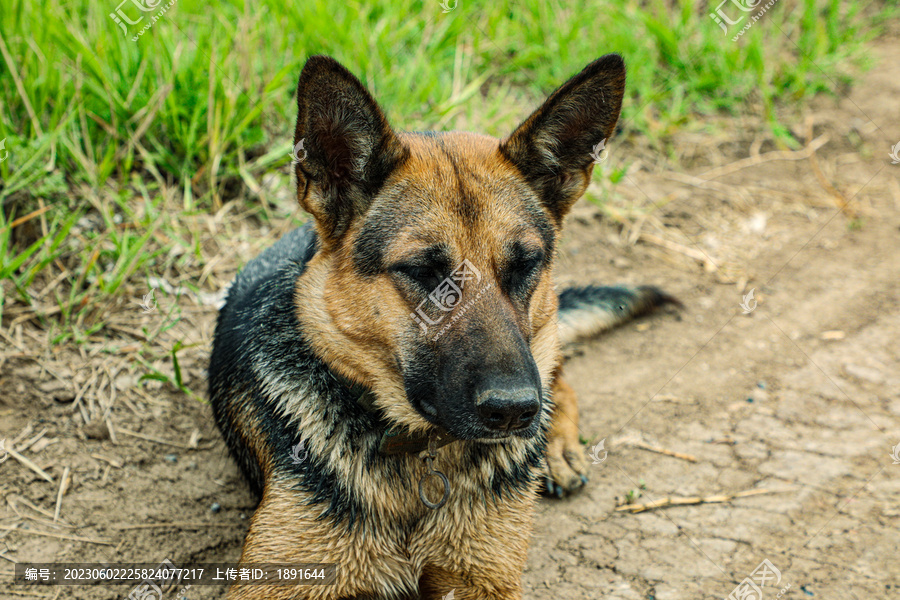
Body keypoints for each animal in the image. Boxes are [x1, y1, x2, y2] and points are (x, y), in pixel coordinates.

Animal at [209, 54, 676, 596]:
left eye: (525, 265)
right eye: (424, 272)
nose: (514, 411)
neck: (421, 455)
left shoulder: (484, 578)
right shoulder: (278, 581)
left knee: (561, 378)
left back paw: (556, 447)